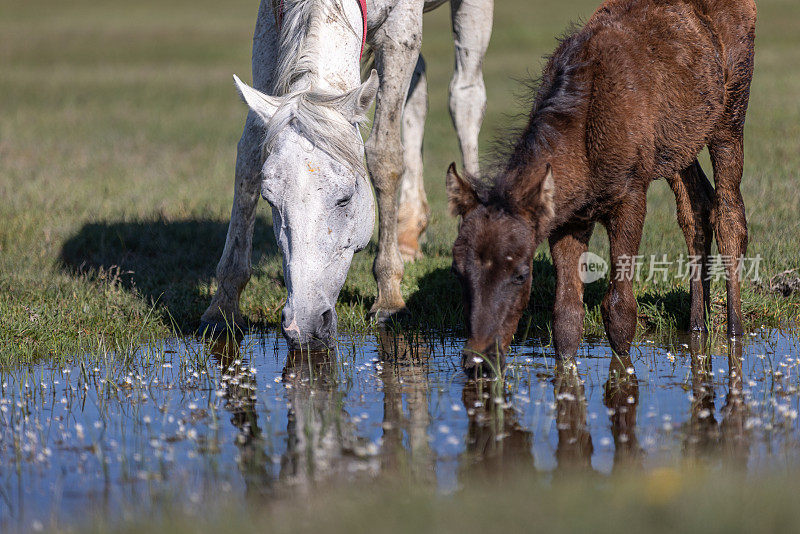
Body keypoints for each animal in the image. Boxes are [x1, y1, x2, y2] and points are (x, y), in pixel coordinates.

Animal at [203, 0, 490, 348]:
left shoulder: (400, 29)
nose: (303, 325)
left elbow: (385, 155)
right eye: (270, 201)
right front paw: (223, 308)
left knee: (465, 96)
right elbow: (248, 155)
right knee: (419, 93)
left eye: (345, 199)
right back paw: (408, 235)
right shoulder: (268, 28)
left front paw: (389, 298)